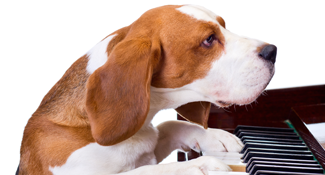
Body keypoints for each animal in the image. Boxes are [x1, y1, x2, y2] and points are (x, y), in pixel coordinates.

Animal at [18, 4, 276, 175]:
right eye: (209, 39)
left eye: (224, 26)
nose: (273, 51)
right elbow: (147, 172)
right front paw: (200, 166)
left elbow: (168, 126)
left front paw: (214, 136)